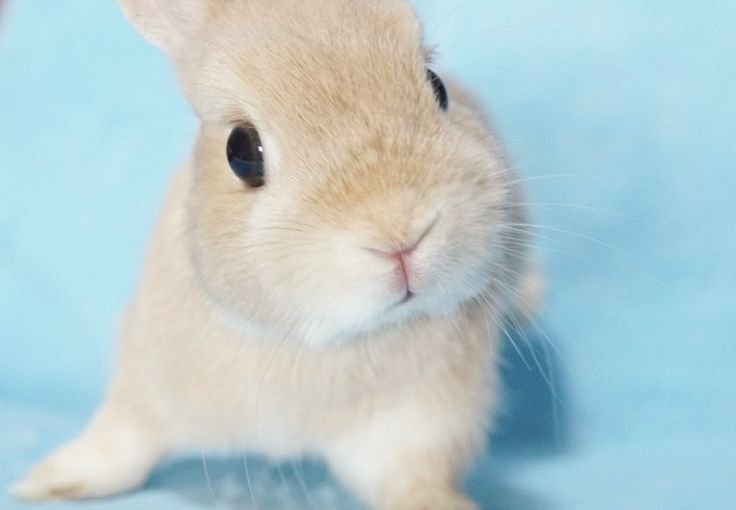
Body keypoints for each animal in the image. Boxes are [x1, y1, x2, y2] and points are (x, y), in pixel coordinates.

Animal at [10, 0, 541, 508]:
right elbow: (119, 442)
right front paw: (44, 483)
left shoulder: (418, 429)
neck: (320, 341)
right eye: (241, 151)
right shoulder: (146, 383)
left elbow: (415, 483)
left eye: (437, 86)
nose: (400, 234)